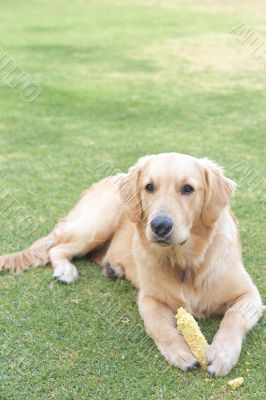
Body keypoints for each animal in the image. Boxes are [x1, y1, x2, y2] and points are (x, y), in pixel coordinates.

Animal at [0, 152, 262, 376]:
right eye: (149, 187)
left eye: (188, 188)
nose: (160, 226)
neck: (185, 263)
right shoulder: (149, 298)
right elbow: (159, 327)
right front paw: (180, 353)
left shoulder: (250, 296)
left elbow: (233, 317)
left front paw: (222, 354)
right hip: (98, 222)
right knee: (57, 248)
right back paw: (66, 270)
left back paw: (111, 268)